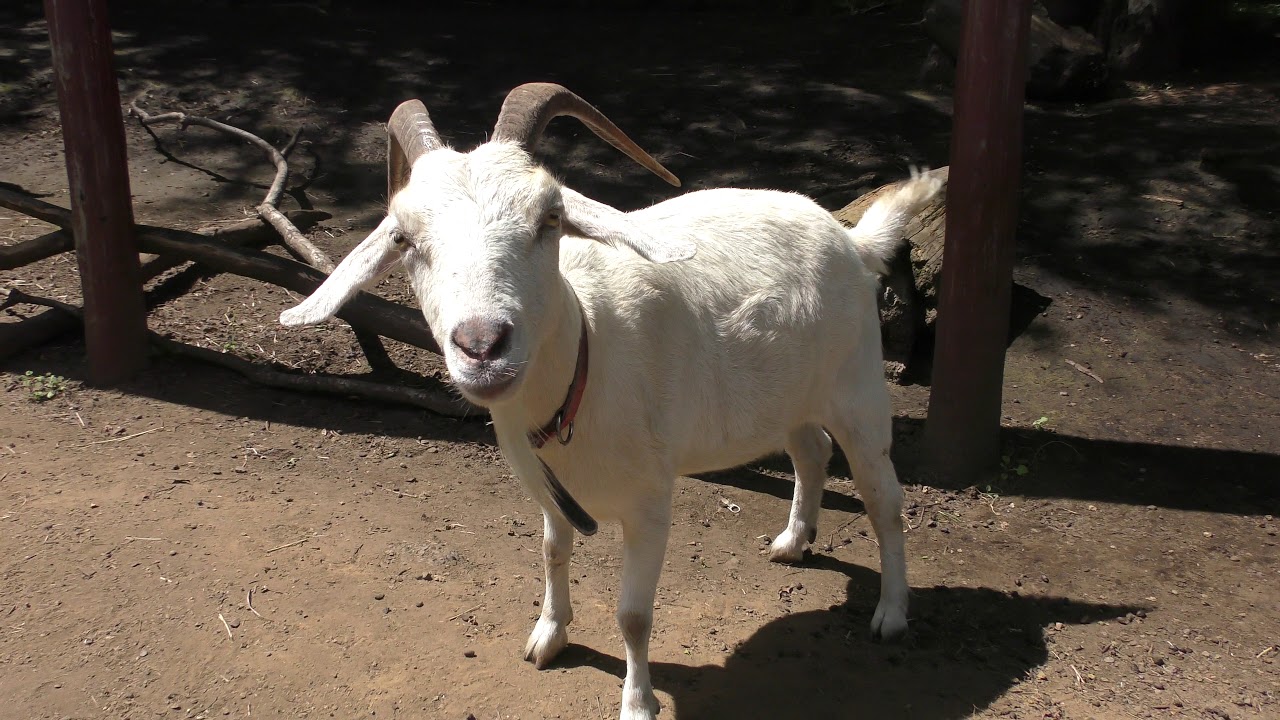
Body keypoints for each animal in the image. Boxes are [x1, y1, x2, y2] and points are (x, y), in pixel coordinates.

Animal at [280, 83, 940, 720]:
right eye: (403, 237)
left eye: (550, 217)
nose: (482, 345)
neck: (585, 363)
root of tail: (852, 239)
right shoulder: (549, 489)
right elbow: (552, 551)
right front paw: (548, 636)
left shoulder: (650, 503)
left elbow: (633, 616)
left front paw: (637, 703)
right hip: (789, 397)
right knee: (811, 450)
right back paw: (793, 541)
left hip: (859, 388)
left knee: (884, 497)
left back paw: (891, 613)